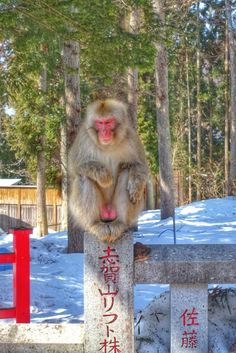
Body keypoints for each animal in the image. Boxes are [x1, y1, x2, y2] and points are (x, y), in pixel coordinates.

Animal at [68, 99, 148, 242]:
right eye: (100, 123)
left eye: (109, 122)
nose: (104, 132)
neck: (108, 146)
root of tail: (108, 215)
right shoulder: (83, 138)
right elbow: (74, 166)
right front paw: (103, 176)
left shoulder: (131, 137)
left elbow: (140, 165)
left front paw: (136, 185)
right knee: (84, 177)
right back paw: (94, 225)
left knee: (127, 173)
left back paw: (120, 223)